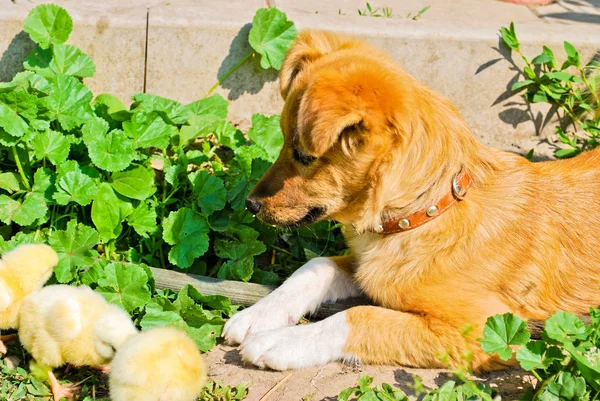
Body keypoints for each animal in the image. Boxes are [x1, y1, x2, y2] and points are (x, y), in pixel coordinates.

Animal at [223, 29, 600, 370]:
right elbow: (316, 265)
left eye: (303, 155)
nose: (250, 205)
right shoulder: (366, 268)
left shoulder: (488, 331)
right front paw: (259, 314)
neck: (427, 212)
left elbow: (360, 316)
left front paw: (283, 341)